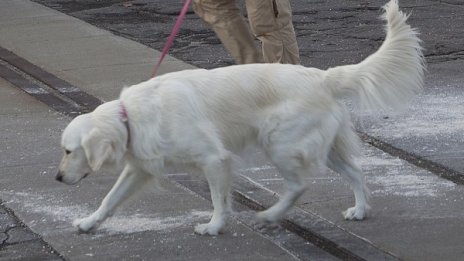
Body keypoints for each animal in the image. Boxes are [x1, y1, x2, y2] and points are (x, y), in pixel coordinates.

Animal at [55, 0, 424, 235]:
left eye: (70, 151)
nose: (57, 178)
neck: (130, 116)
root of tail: (322, 76)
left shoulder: (214, 159)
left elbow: (219, 200)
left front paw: (214, 226)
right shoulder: (140, 168)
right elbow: (110, 198)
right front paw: (88, 223)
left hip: (279, 143)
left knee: (299, 185)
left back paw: (270, 215)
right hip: (324, 147)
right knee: (356, 173)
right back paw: (359, 211)